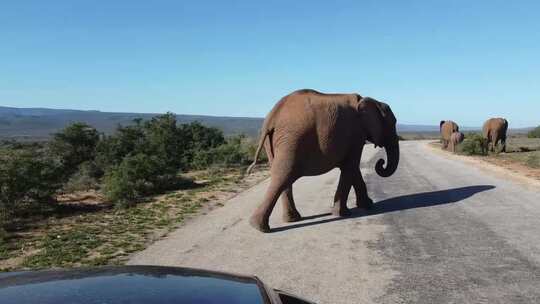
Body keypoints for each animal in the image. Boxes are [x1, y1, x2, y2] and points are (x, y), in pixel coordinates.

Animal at [247, 89, 398, 232]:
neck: (372, 101)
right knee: (284, 175)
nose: (381, 162)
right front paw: (342, 214)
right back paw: (260, 227)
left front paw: (367, 205)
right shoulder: (356, 134)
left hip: (276, 141)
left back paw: (289, 220)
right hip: (293, 138)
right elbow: (351, 167)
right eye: (392, 123)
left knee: (282, 176)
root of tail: (273, 116)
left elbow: (353, 170)